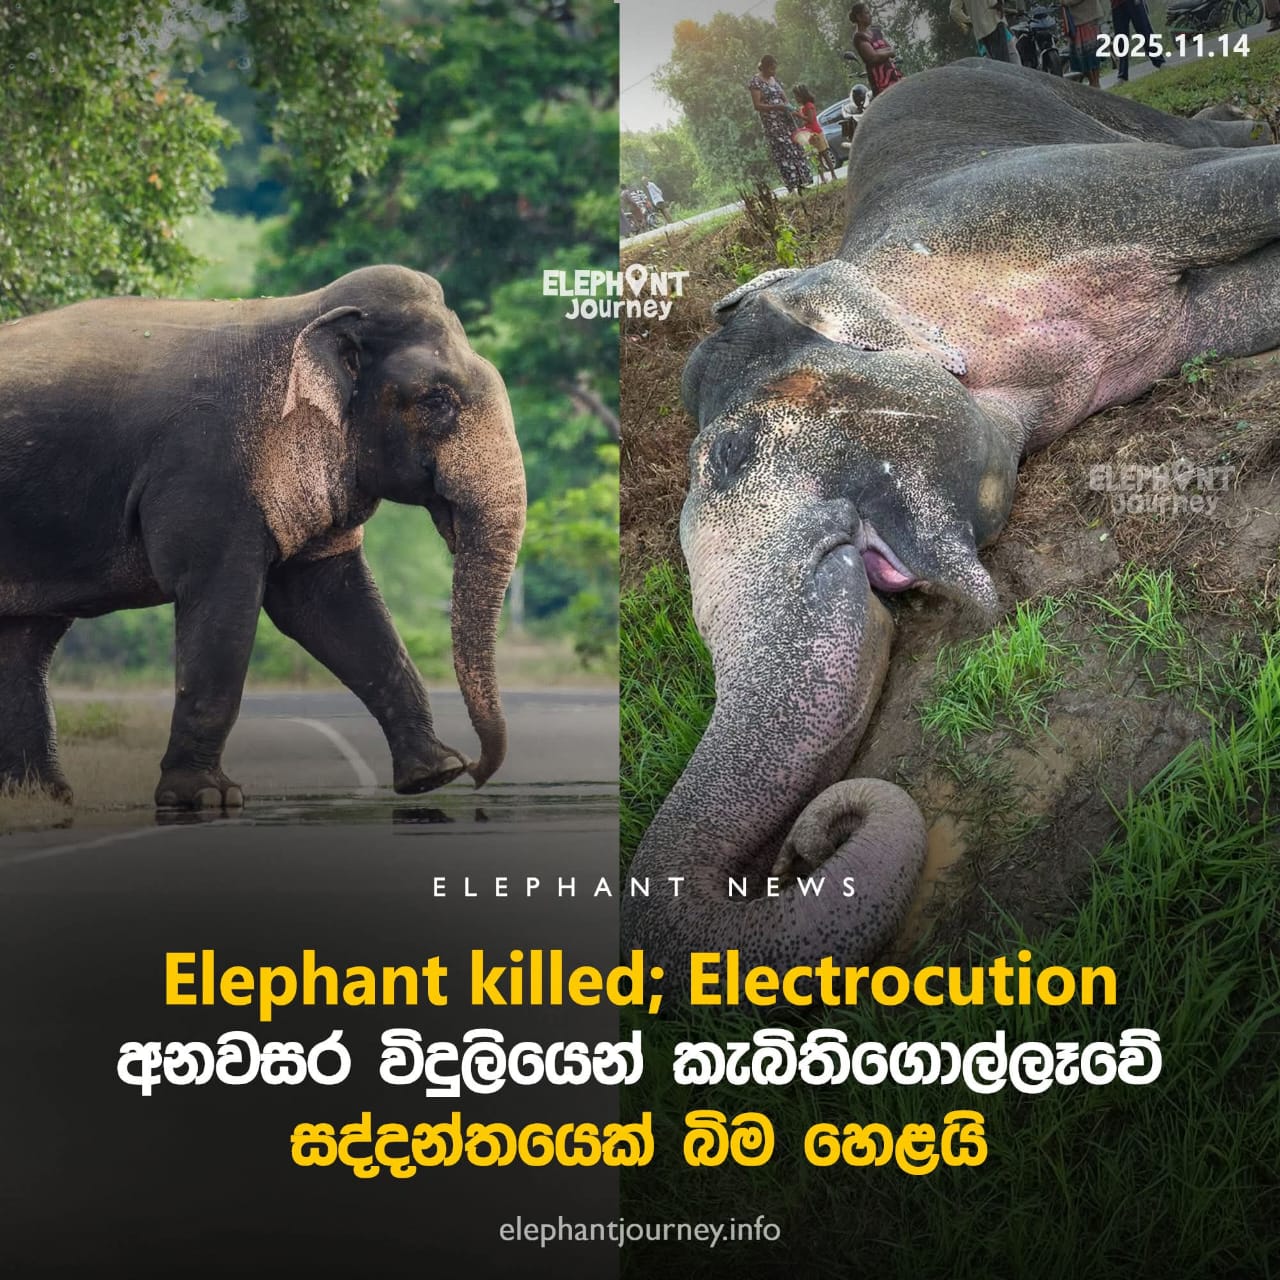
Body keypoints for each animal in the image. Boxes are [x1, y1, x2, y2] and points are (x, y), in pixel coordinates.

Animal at [0, 265, 525, 809]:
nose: (478, 772)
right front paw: (205, 798)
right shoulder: (206, 467)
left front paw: (434, 774)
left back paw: (44, 798)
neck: (304, 314)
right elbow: (223, 598)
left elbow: (329, 603)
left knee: (26, 639)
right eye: (436, 401)